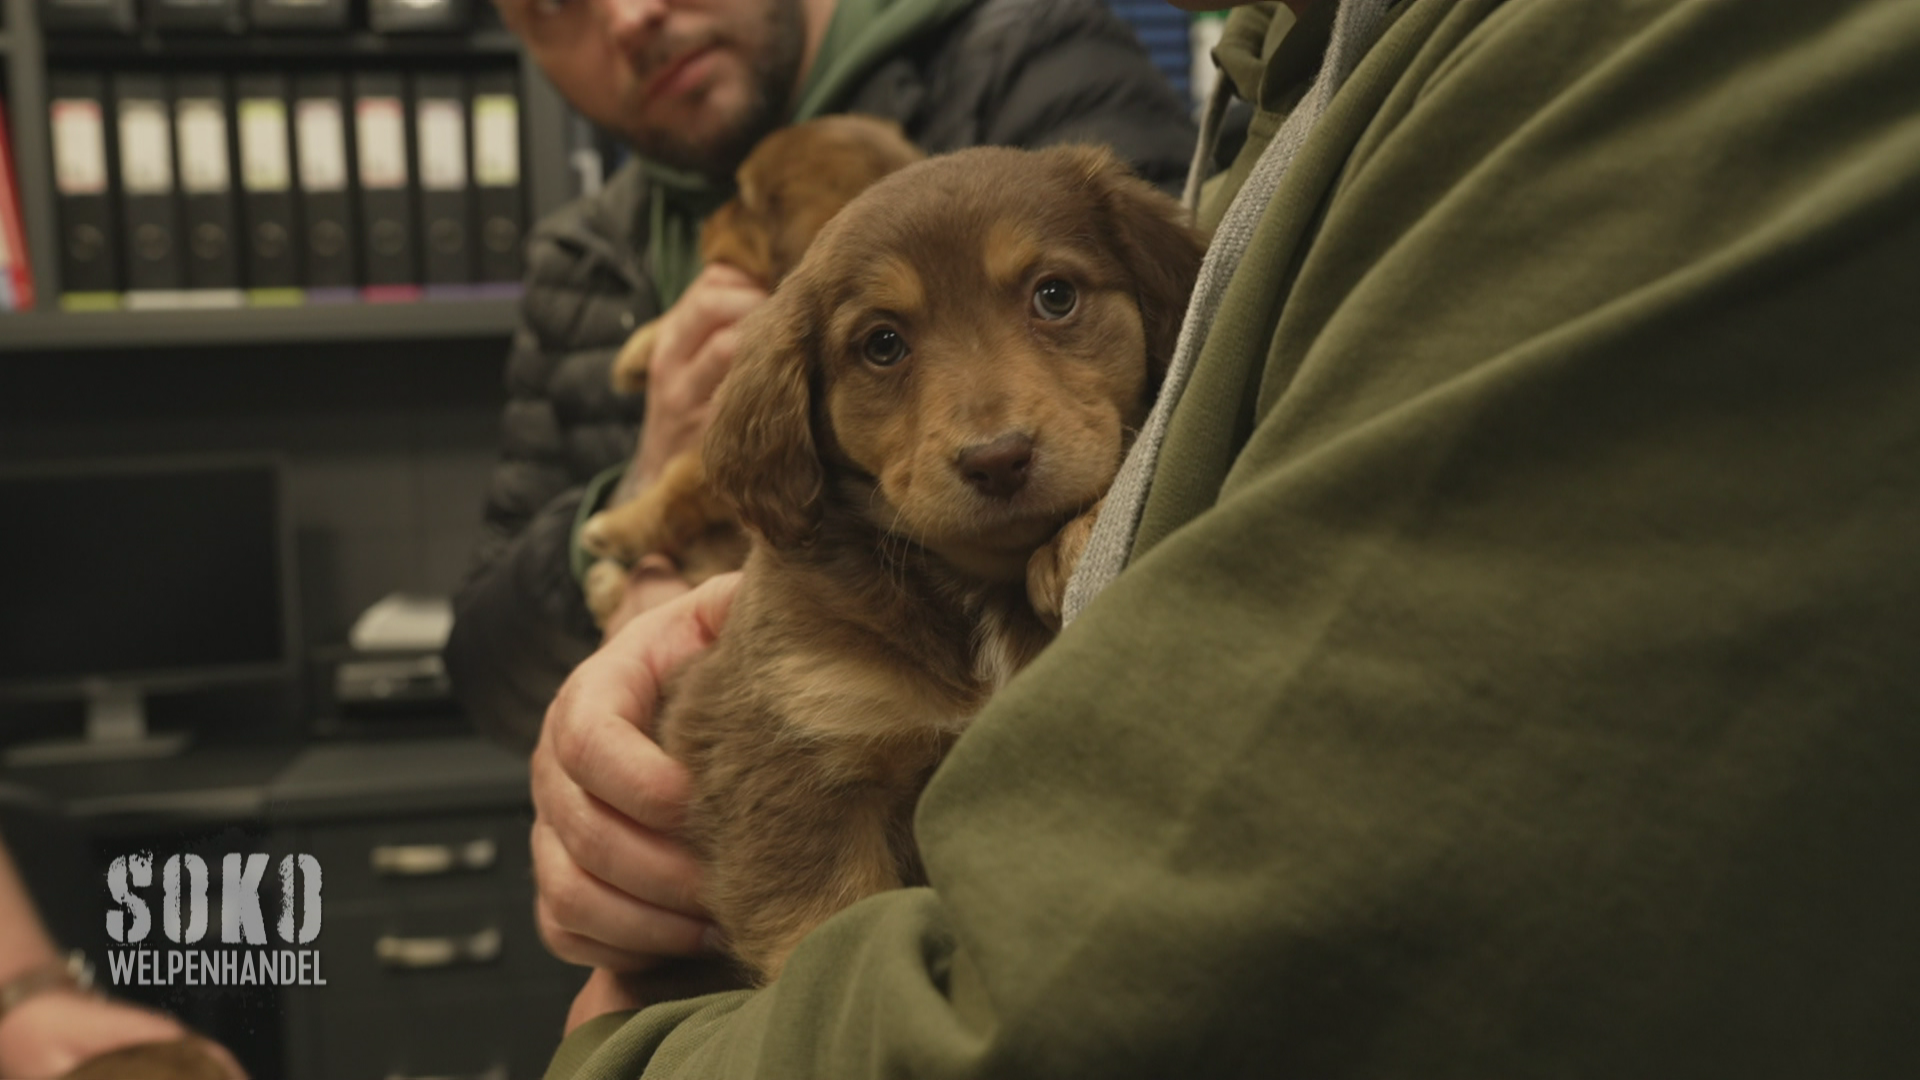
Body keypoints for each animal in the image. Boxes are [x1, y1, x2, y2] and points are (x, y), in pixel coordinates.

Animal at [660, 141, 1198, 976]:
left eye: (1054, 296)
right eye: (883, 344)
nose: (998, 459)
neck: (976, 595)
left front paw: (1076, 537)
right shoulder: (791, 760)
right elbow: (818, 933)